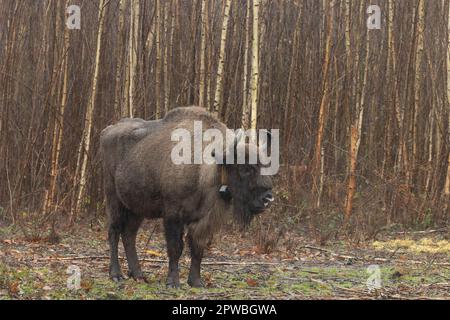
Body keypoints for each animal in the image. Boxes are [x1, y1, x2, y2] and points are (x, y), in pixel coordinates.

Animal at [100, 105, 272, 288]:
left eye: (265, 164)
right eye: (245, 168)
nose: (268, 198)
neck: (211, 166)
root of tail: (107, 131)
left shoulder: (203, 220)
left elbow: (197, 249)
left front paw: (196, 282)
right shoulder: (173, 215)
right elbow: (175, 248)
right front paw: (173, 282)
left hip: (136, 208)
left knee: (129, 235)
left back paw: (138, 275)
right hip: (114, 199)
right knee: (114, 231)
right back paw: (116, 274)